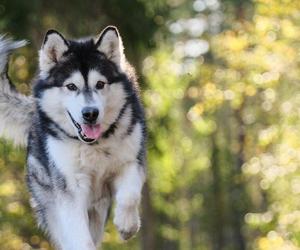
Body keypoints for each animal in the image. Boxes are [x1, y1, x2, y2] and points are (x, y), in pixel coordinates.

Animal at [0, 26, 146, 249]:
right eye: (71, 86)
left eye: (100, 84)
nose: (90, 113)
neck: (94, 145)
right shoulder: (70, 189)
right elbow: (79, 236)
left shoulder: (131, 161)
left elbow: (129, 195)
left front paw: (127, 225)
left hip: (98, 209)